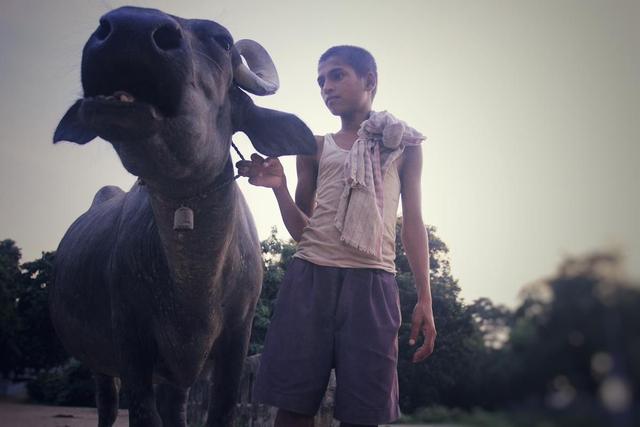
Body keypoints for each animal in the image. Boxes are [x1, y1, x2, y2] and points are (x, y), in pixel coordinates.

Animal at [52, 6, 316, 427]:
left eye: (224, 42)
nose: (131, 26)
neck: (194, 287)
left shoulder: (236, 341)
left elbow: (220, 411)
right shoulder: (130, 342)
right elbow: (143, 414)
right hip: (103, 364)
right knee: (107, 404)